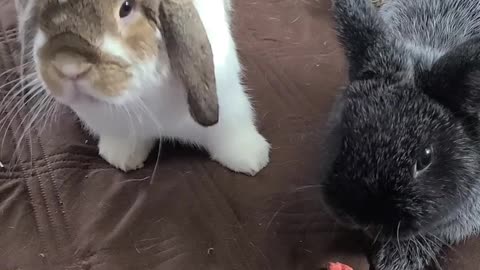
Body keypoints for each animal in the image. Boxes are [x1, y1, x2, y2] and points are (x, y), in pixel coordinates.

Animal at [14, 0, 270, 175]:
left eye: (126, 7)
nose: (68, 66)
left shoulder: (229, 103)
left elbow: (231, 131)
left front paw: (251, 159)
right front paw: (120, 157)